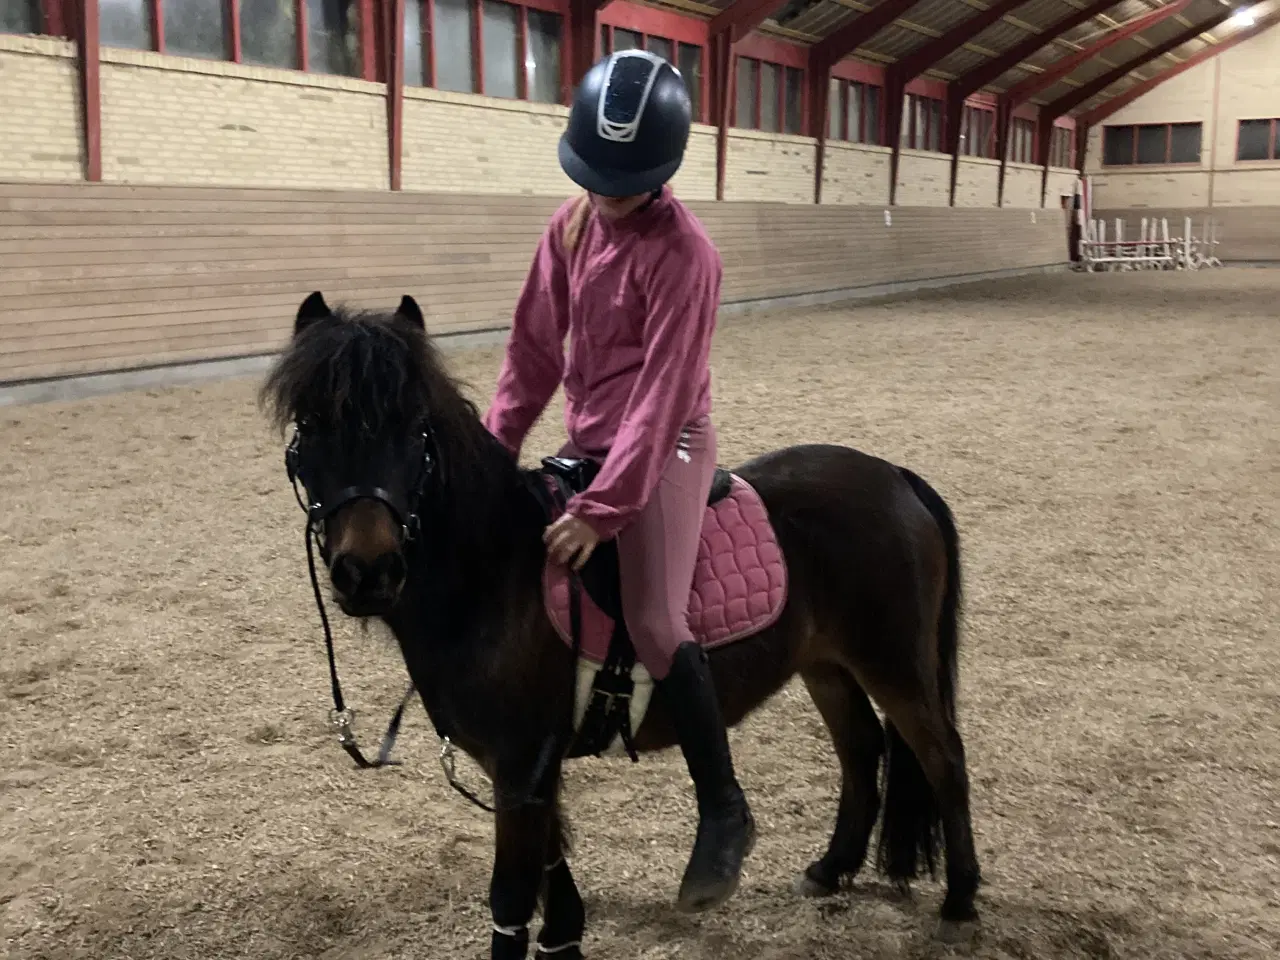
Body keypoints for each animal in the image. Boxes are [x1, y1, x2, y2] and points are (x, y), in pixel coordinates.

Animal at [260, 291, 981, 959]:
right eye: (311, 426)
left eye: (416, 429)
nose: (368, 571)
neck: (495, 572)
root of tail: (894, 476)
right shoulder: (522, 770)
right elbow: (553, 860)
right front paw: (567, 938)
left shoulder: (521, 765)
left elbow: (511, 898)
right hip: (825, 662)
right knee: (861, 748)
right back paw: (832, 870)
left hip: (894, 663)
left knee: (942, 757)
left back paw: (961, 900)